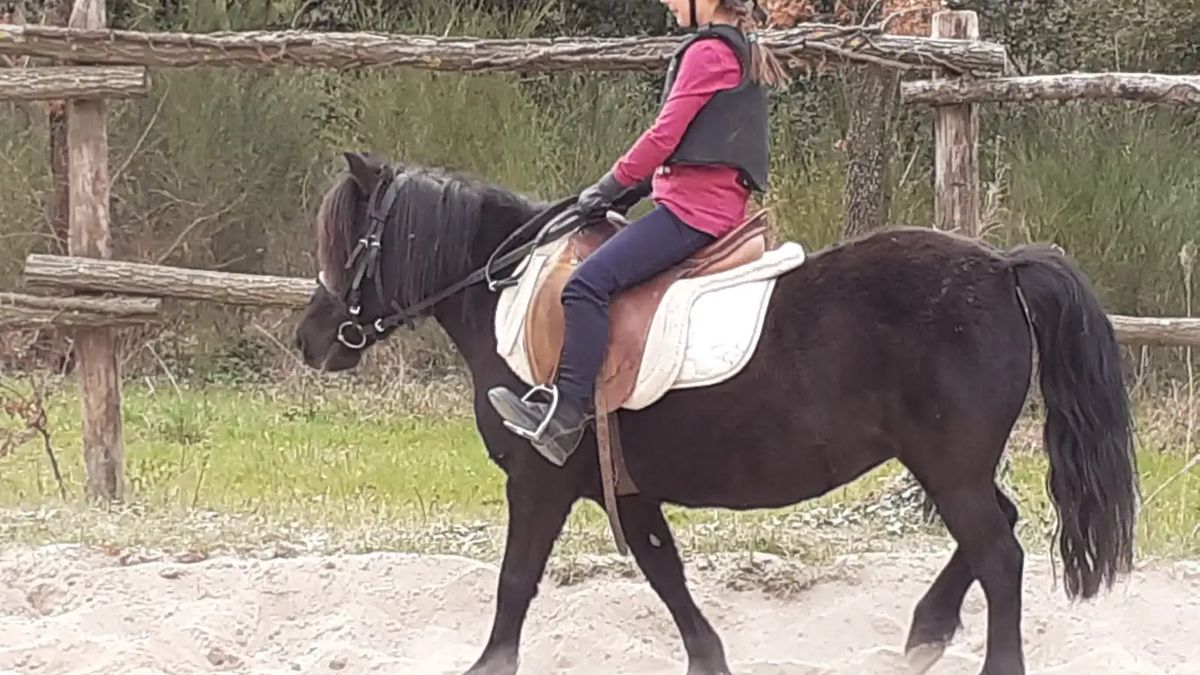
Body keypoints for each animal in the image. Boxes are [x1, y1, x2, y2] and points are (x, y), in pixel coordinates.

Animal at [293, 151, 1138, 675]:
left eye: (349, 242)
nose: (310, 339)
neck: (509, 294)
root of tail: (1000, 266)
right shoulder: (623, 486)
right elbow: (664, 572)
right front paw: (709, 656)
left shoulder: (541, 480)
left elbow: (516, 580)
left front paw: (488, 661)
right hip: (952, 464)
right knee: (997, 531)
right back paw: (926, 630)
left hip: (947, 465)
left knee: (1000, 554)